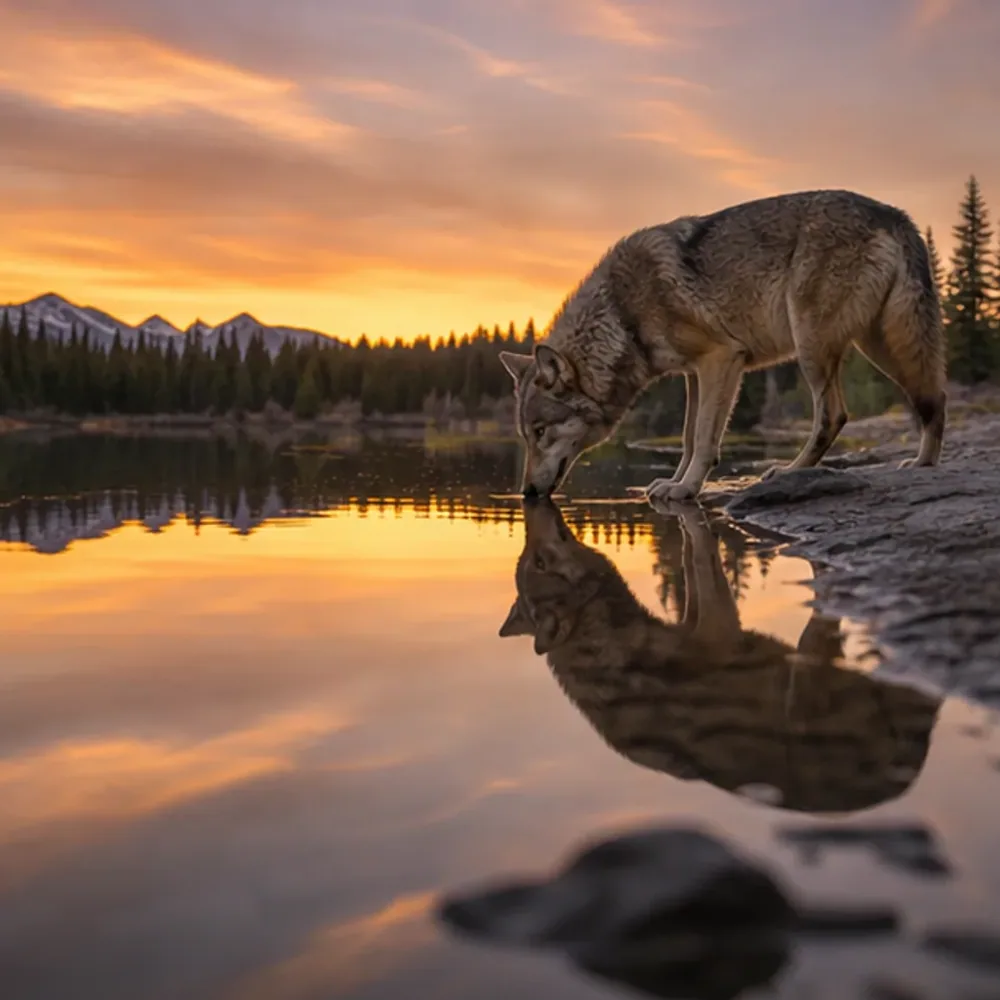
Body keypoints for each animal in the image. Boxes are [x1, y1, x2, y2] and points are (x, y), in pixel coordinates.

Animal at [499, 189, 947, 502]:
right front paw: (673, 482)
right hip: (881, 345)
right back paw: (922, 464)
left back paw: (789, 471)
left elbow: (702, 438)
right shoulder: (694, 373)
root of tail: (893, 213)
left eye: (540, 431)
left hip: (813, 346)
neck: (622, 315)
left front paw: (686, 489)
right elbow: (686, 437)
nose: (526, 494)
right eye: (526, 435)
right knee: (934, 398)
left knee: (834, 415)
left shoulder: (722, 358)